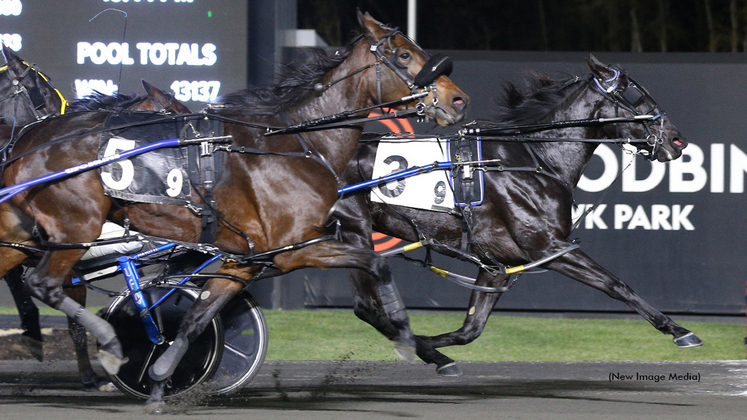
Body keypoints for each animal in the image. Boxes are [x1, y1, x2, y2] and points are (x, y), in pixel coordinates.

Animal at [0, 11, 468, 408]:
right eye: (404, 55)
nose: (458, 99)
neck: (294, 142)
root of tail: (30, 138)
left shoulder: (245, 259)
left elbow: (197, 317)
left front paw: (161, 380)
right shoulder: (296, 249)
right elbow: (378, 265)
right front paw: (408, 338)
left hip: (21, 234)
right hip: (75, 226)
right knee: (43, 285)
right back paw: (110, 345)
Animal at [338, 55, 700, 374]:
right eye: (635, 95)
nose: (677, 140)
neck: (536, 159)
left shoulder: (498, 263)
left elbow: (470, 329)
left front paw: (427, 343)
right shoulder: (548, 247)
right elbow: (615, 284)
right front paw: (680, 331)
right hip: (353, 231)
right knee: (366, 307)